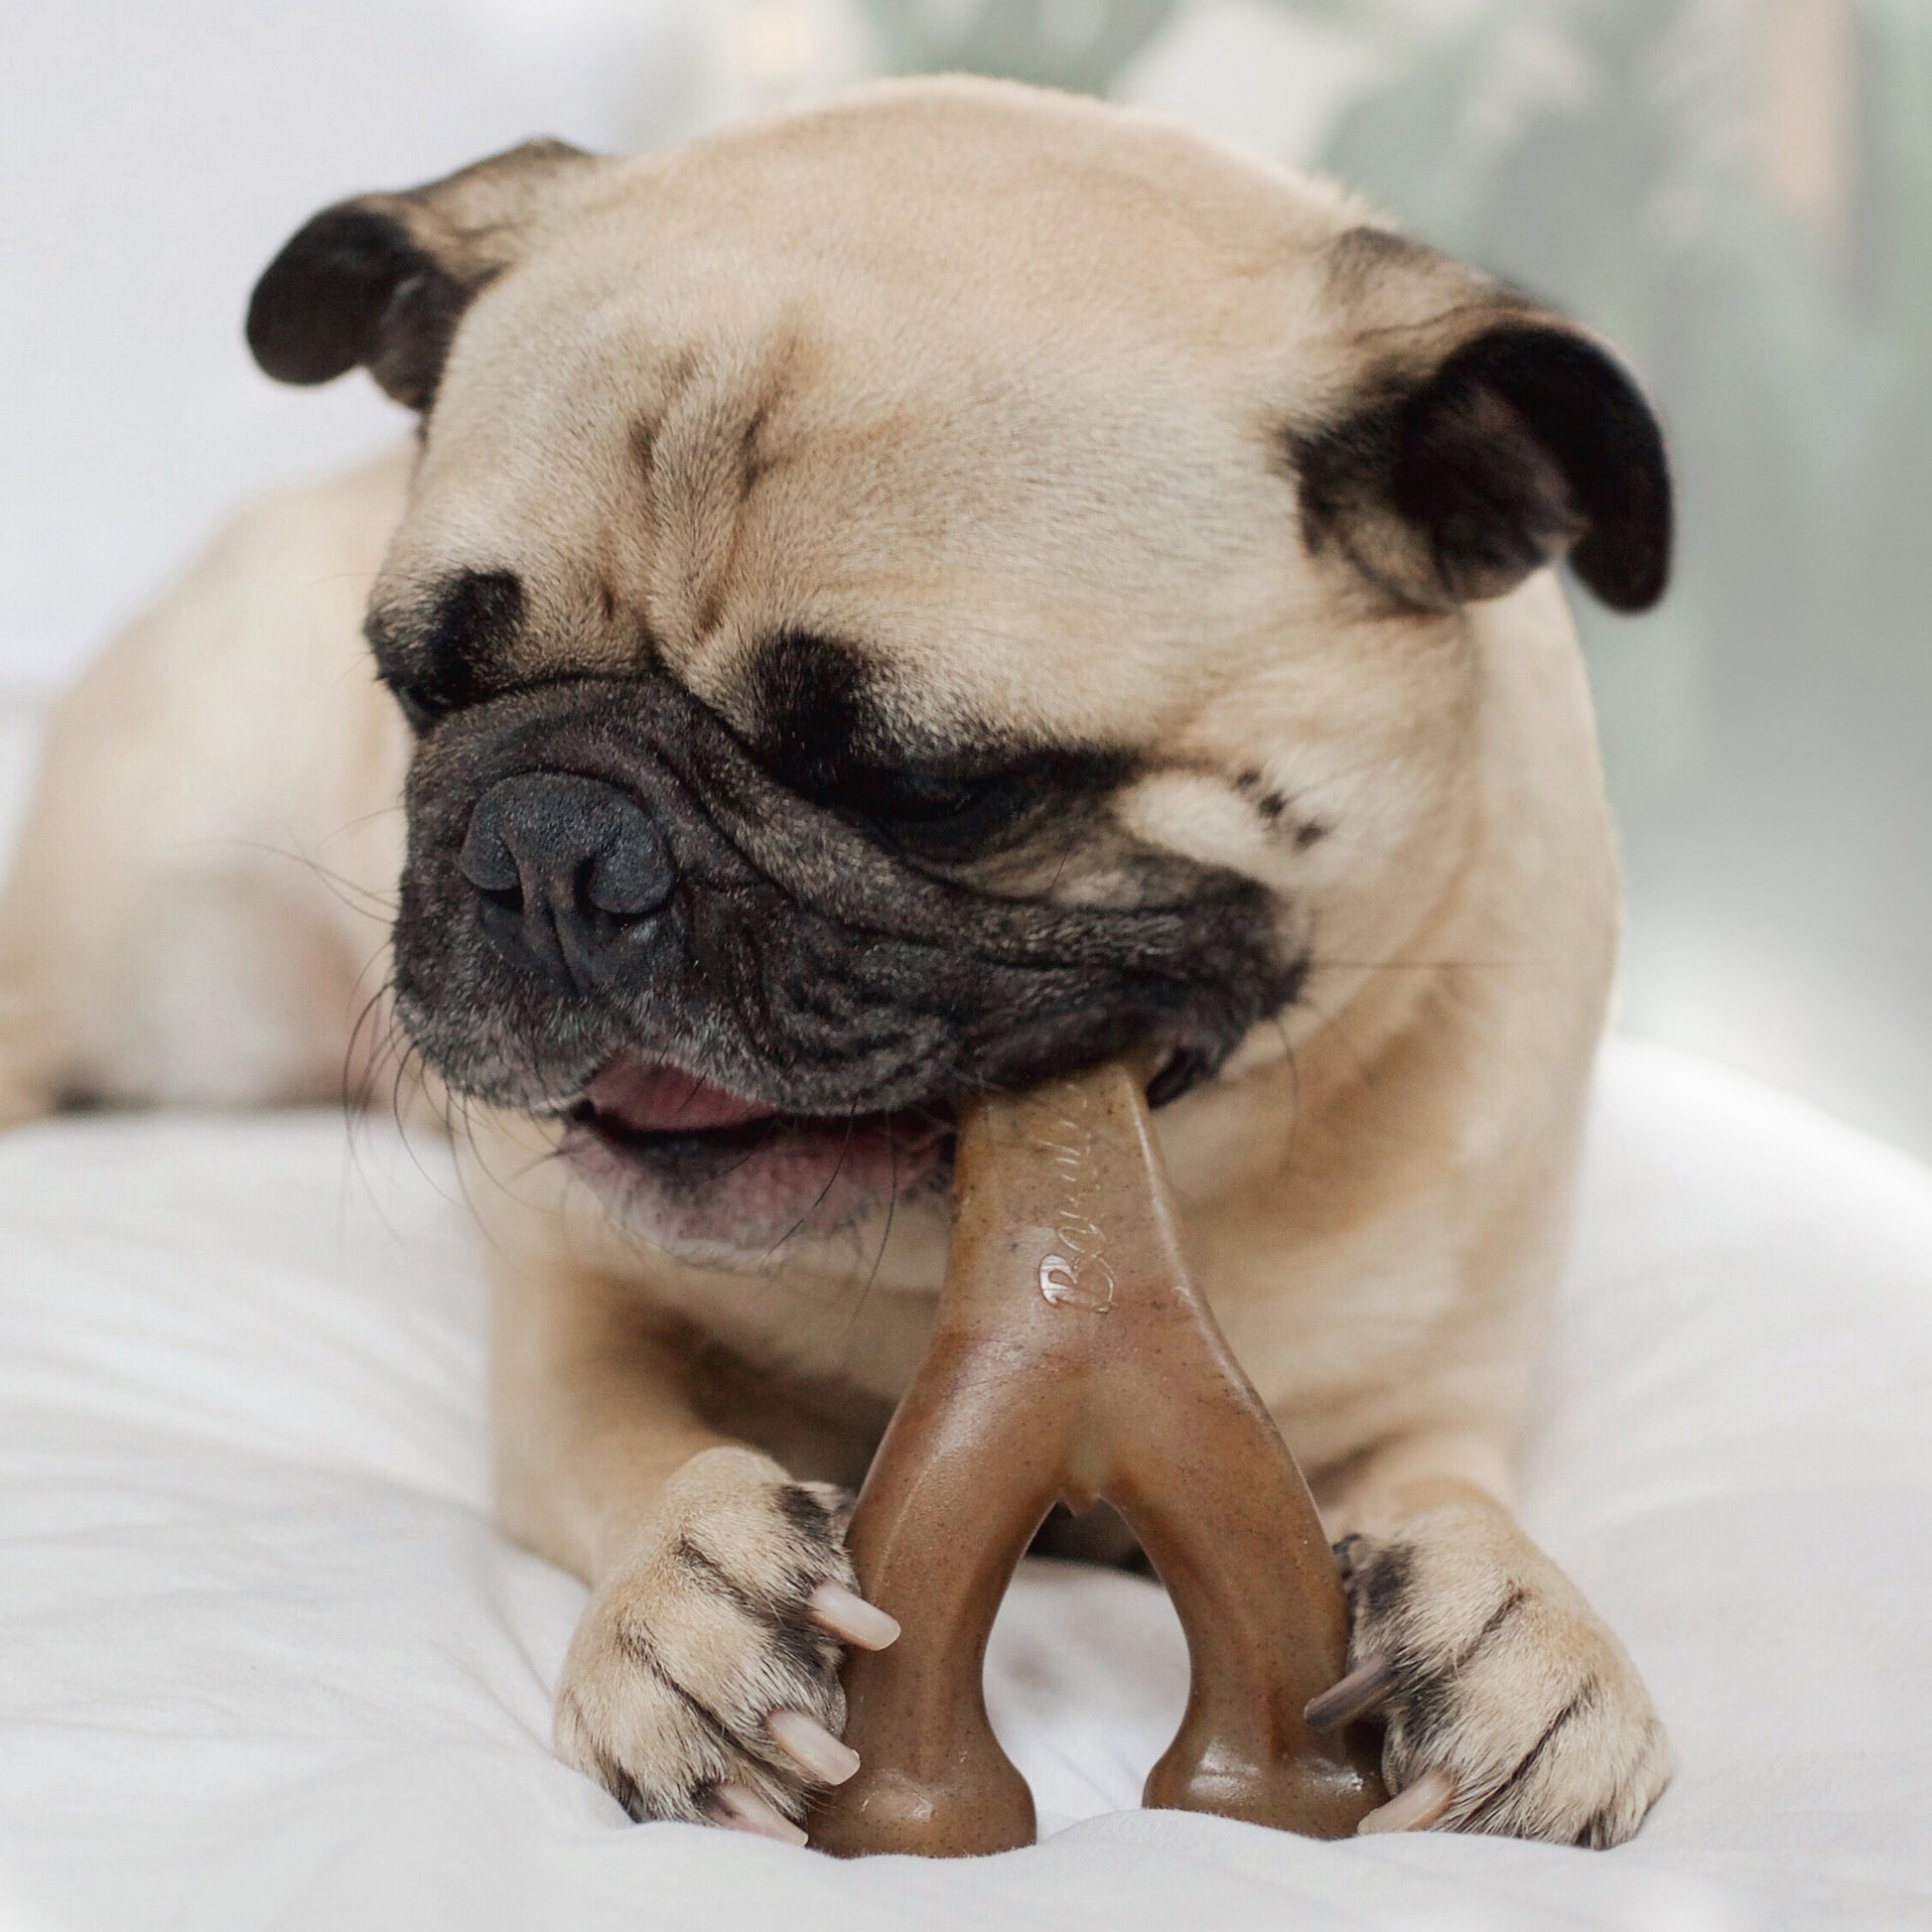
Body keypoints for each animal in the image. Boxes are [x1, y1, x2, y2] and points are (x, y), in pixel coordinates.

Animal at [0, 82, 1669, 1847]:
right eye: (427, 687)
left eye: (926, 786)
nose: (556, 838)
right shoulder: (573, 1319)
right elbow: (629, 1439)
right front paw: (683, 1589)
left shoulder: (1429, 1394)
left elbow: (1452, 1486)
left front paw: (1519, 1615)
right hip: (166, 974)